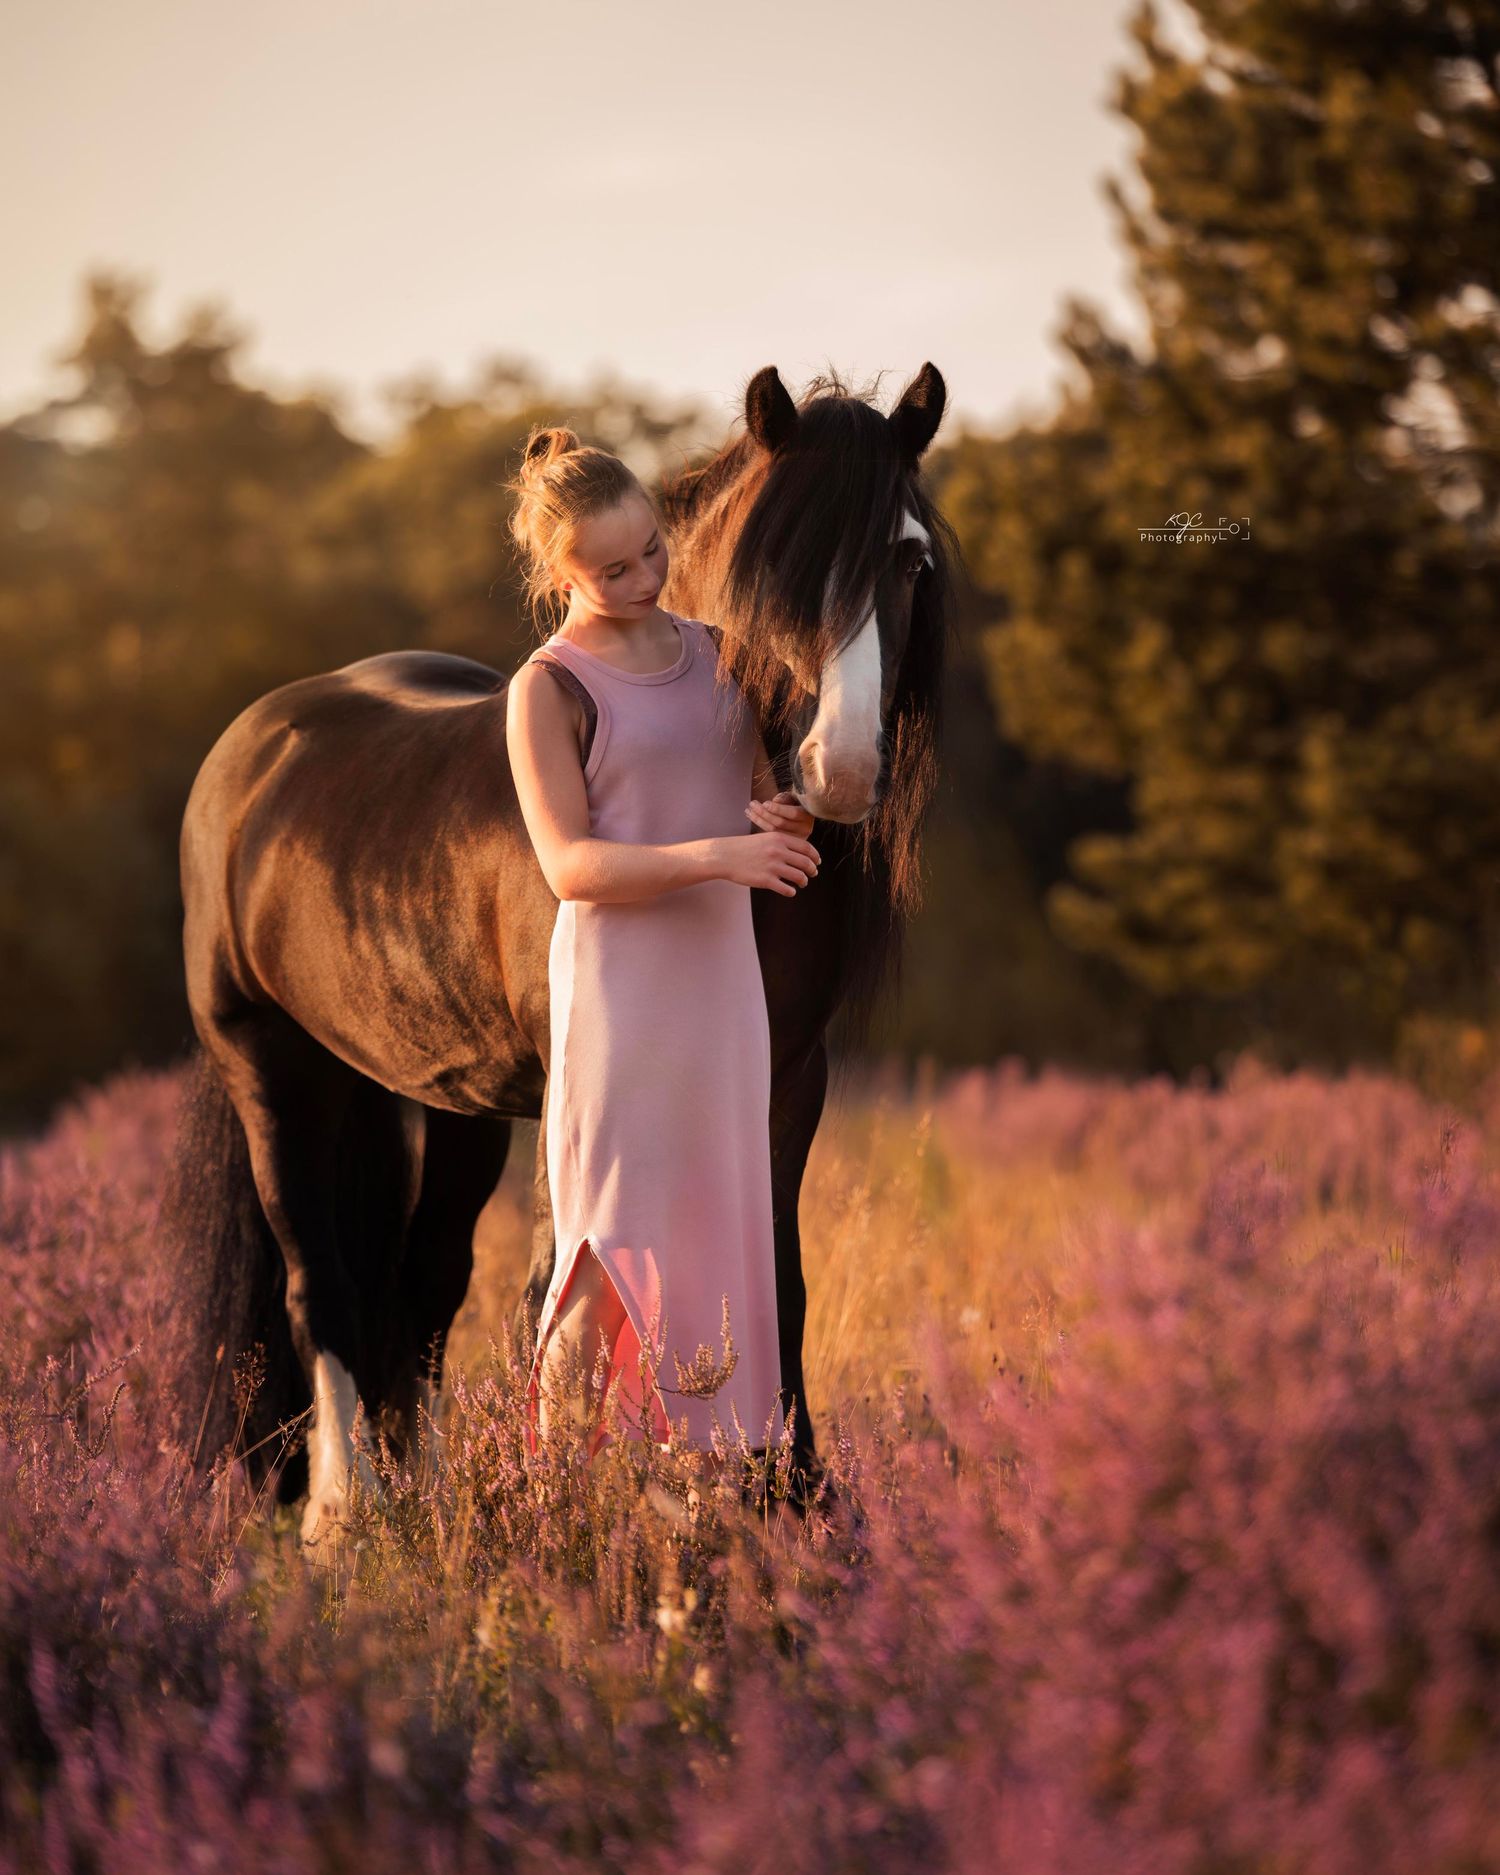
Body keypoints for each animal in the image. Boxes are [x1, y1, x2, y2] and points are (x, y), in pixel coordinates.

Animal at [161, 360, 958, 1556]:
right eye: (775, 560)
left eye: (907, 559)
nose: (841, 768)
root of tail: (249, 748)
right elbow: (563, 1283)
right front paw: (595, 1511)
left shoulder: (790, 1079)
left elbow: (778, 1274)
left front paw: (789, 1496)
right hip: (276, 1074)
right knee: (320, 1284)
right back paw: (348, 1515)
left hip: (444, 1101)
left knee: (423, 1285)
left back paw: (437, 1500)